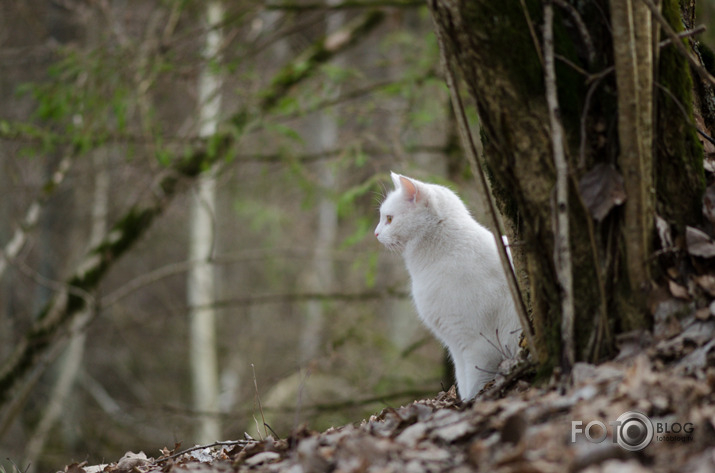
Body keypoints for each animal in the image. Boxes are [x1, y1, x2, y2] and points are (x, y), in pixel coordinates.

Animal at [374, 171, 520, 396]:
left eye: (389, 219)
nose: (376, 233)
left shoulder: (479, 345)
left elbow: (474, 384)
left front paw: (471, 402)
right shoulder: (456, 345)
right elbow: (463, 380)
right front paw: (464, 401)